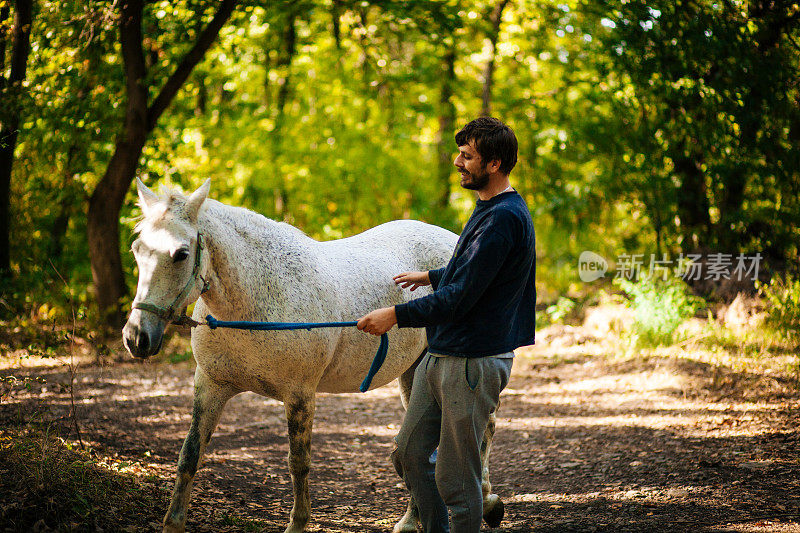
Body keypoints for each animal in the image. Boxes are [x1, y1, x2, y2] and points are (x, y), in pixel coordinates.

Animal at [122, 180, 504, 532]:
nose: (137, 337)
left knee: (480, 430)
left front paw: (298, 522)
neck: (255, 302)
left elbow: (299, 462)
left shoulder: (300, 395)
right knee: (421, 446)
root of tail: (452, 242)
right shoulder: (211, 385)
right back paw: (412, 520)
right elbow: (190, 455)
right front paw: (173, 523)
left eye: (181, 254)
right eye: (137, 249)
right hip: (413, 372)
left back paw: (485, 501)